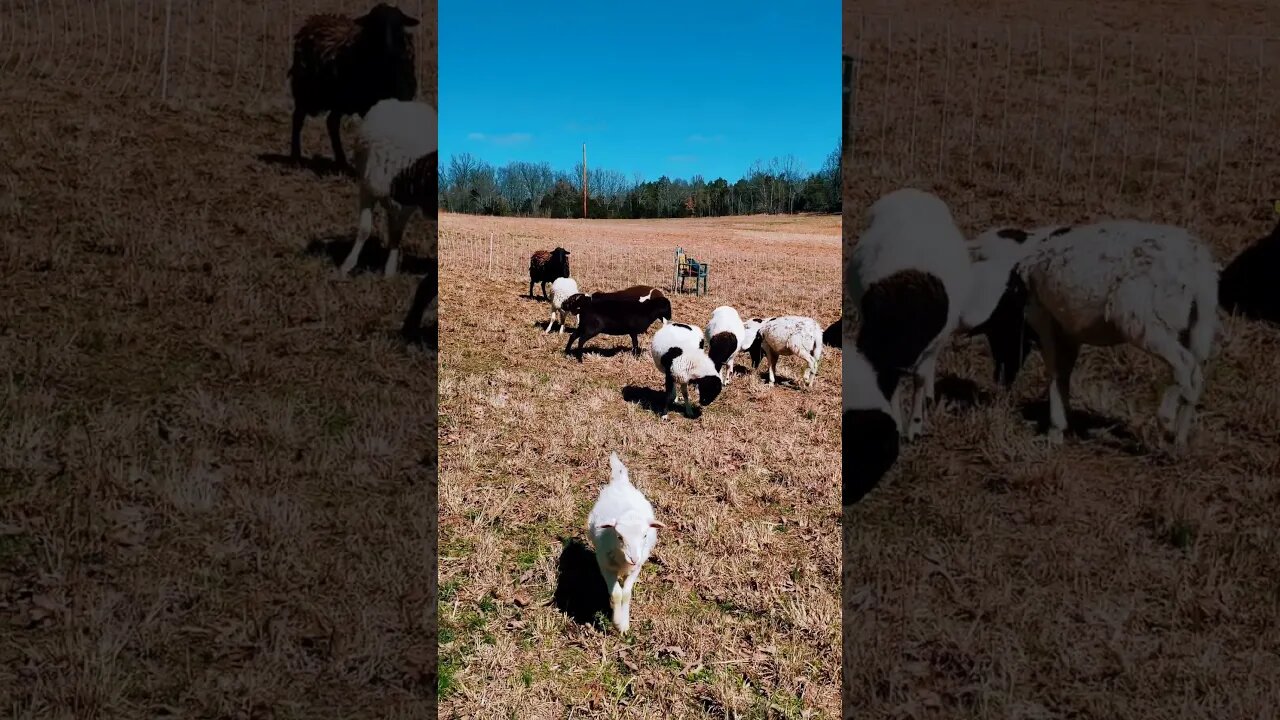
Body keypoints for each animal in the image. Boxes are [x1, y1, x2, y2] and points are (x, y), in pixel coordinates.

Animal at [337, 99, 437, 279]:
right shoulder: (367, 189)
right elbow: (364, 229)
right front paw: (346, 266)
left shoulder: (407, 206)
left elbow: (397, 234)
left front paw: (389, 271)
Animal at [588, 450, 670, 630]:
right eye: (619, 536)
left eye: (645, 535)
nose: (633, 558)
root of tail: (621, 482)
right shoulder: (605, 566)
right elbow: (616, 594)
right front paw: (617, 620)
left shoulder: (636, 569)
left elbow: (626, 594)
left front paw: (624, 624)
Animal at [967, 215, 1218, 445]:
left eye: (999, 333)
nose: (1001, 379)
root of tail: (1198, 268)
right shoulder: (1069, 332)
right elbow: (1064, 372)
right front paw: (1059, 427)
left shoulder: (1043, 319)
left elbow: (1054, 371)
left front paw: (1055, 430)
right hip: (1194, 329)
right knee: (1196, 376)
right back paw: (1180, 440)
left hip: (1144, 322)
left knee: (1184, 365)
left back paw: (1166, 421)